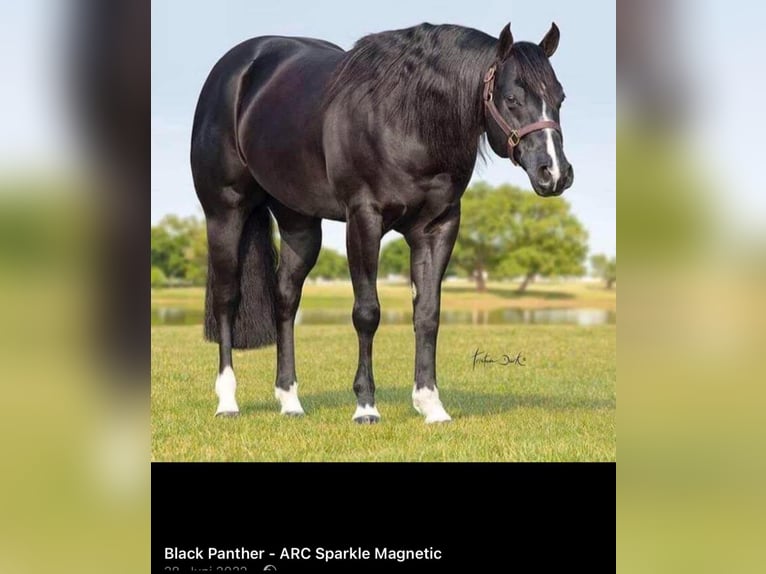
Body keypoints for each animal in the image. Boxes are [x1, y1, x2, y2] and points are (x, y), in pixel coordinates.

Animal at [192, 22, 572, 426]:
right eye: (512, 98)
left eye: (560, 98)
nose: (555, 173)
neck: (406, 120)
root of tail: (237, 68)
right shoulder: (363, 219)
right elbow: (367, 312)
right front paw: (365, 406)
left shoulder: (437, 227)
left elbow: (427, 314)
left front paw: (431, 405)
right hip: (225, 212)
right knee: (227, 299)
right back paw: (227, 402)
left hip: (299, 223)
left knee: (285, 299)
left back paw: (290, 401)